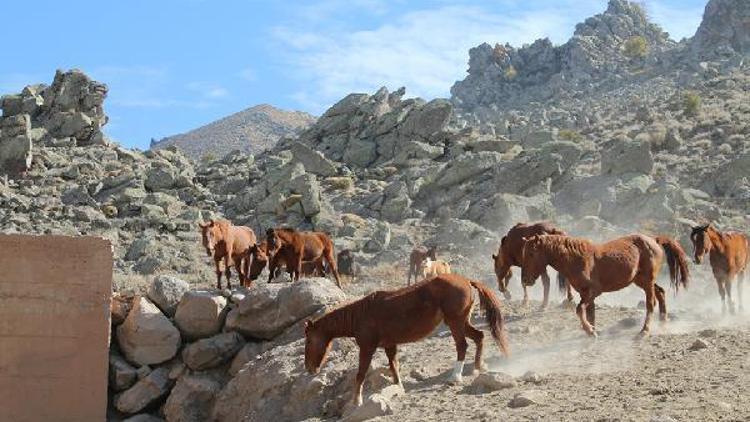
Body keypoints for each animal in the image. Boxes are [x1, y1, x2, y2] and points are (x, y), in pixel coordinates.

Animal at [306, 272, 512, 408]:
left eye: (308, 341)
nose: (310, 369)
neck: (360, 315)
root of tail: (466, 280)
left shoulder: (367, 348)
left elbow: (361, 373)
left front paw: (357, 401)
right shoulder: (389, 345)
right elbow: (394, 367)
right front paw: (398, 388)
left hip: (455, 324)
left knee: (462, 346)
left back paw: (455, 377)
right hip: (462, 323)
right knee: (479, 337)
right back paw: (478, 367)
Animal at [524, 232, 692, 338]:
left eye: (532, 253)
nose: (526, 280)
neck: (577, 259)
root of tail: (654, 240)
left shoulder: (593, 291)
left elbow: (579, 310)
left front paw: (590, 331)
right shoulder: (585, 294)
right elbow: (589, 313)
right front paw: (592, 330)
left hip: (647, 281)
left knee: (651, 303)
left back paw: (644, 331)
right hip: (642, 281)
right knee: (661, 292)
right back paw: (663, 323)